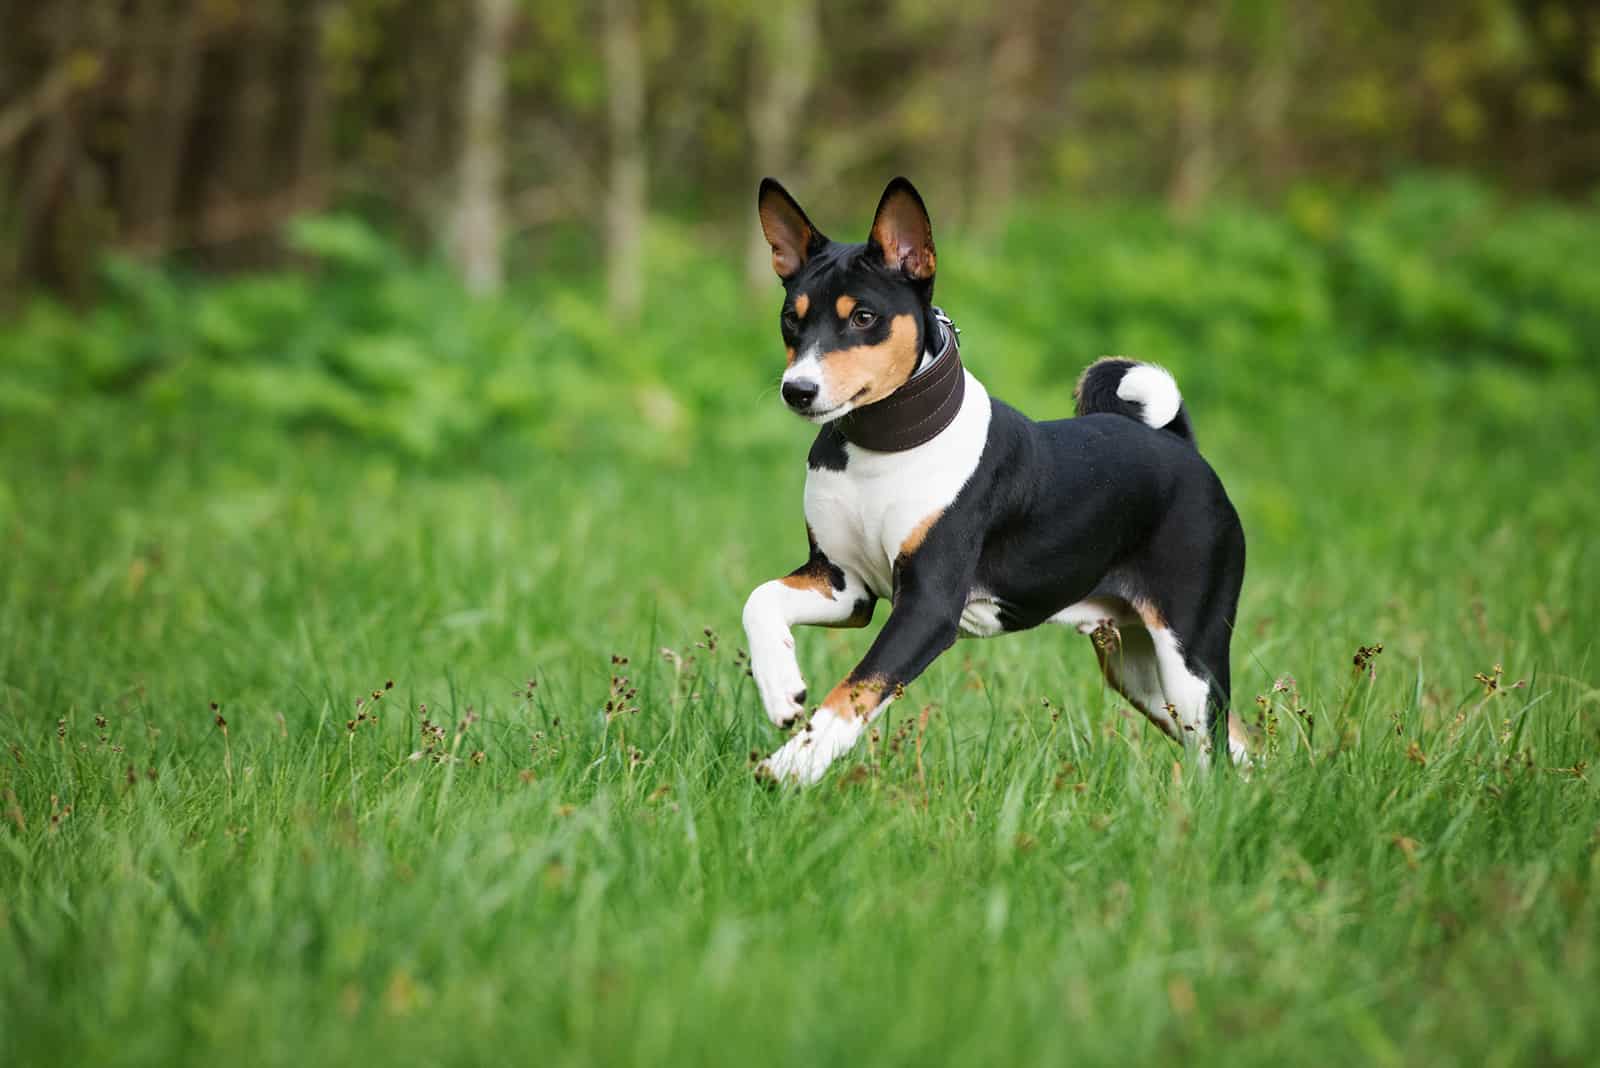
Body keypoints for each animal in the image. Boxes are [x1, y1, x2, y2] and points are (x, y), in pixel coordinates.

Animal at [739, 177, 1248, 783]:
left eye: (863, 317)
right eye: (791, 318)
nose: (798, 390)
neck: (883, 450)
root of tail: (1179, 444)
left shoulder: (928, 607)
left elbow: (854, 692)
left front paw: (793, 764)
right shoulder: (845, 586)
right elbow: (758, 599)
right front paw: (781, 690)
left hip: (1188, 654)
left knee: (1217, 749)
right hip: (1139, 669)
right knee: (1240, 743)